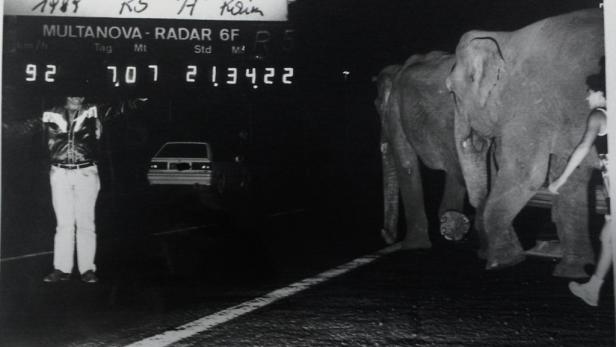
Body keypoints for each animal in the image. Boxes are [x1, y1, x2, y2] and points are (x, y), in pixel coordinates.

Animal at [372, 50, 470, 249]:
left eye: (377, 107)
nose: (383, 233)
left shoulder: (395, 112)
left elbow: (406, 165)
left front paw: (412, 245)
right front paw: (451, 226)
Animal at [446, 8, 604, 280]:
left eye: (451, 92)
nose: (481, 254)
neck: (504, 40)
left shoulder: (529, 106)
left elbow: (526, 174)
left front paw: (501, 264)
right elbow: (571, 179)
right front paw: (574, 272)